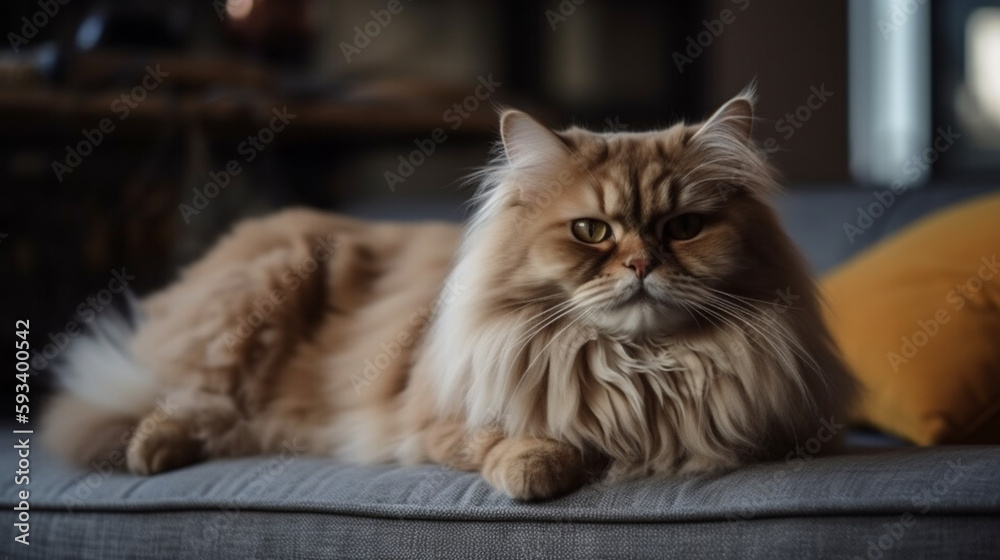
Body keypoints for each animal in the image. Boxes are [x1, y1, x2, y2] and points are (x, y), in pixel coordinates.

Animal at [43, 89, 856, 500]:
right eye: (591, 231)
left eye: (683, 228)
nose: (639, 265)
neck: (640, 370)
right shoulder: (428, 422)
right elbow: (507, 438)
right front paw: (539, 467)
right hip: (253, 301)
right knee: (183, 402)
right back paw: (152, 451)